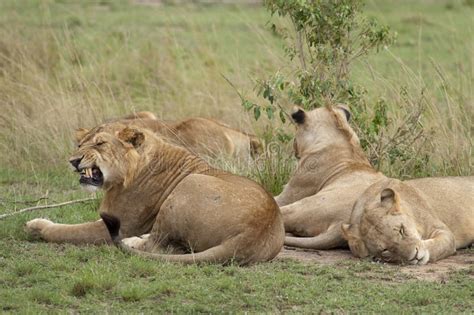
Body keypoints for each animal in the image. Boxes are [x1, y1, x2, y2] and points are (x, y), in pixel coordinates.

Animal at [25, 124, 284, 266]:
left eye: (100, 144)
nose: (73, 160)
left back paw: (133, 241)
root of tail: (252, 234)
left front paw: (37, 226)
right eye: (80, 145)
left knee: (155, 246)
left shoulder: (123, 223)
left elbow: (69, 231)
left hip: (188, 184)